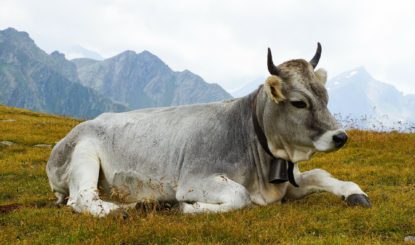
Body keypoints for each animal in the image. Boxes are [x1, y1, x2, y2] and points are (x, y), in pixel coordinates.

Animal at [47, 43, 372, 216]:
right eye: (298, 103)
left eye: (325, 97)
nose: (340, 136)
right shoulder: (194, 179)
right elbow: (239, 196)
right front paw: (187, 208)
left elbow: (321, 174)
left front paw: (354, 192)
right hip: (83, 155)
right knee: (83, 199)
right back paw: (132, 207)